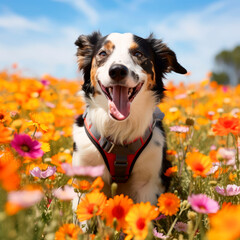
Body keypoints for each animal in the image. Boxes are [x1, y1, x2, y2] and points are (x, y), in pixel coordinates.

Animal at [72, 31, 187, 204]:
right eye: (103, 53)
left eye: (138, 54)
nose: (117, 70)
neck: (120, 128)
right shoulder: (86, 176)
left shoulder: (148, 182)